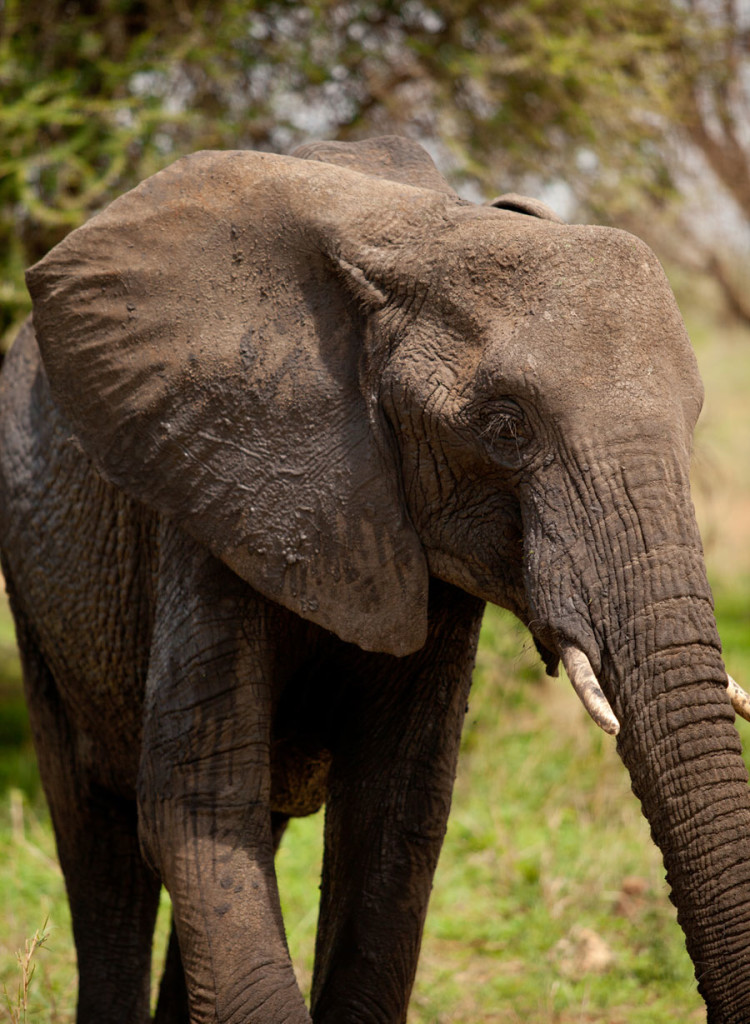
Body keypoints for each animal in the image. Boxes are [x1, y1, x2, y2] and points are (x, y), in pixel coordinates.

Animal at [1, 133, 750, 1024]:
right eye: (505, 428)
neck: (421, 234)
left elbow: (395, 819)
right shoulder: (209, 482)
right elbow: (197, 809)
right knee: (97, 835)